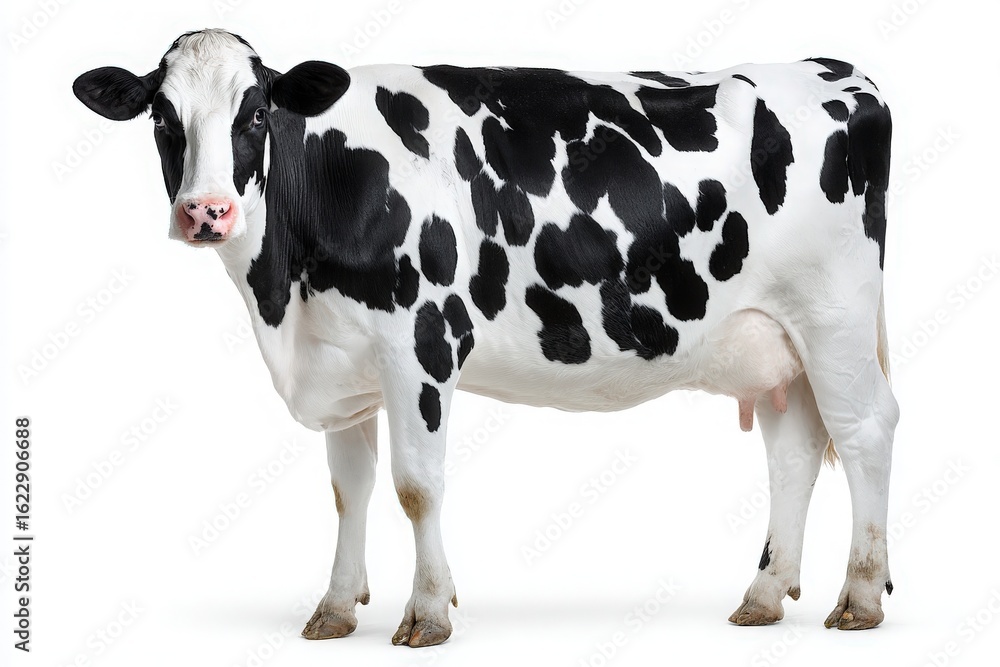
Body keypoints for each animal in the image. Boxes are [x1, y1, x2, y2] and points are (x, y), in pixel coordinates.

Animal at [73, 29, 898, 647]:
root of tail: (841, 71)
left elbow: (415, 484)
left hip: (836, 314)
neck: (284, 294)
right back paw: (764, 593)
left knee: (865, 429)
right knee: (795, 449)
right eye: (162, 119)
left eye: (253, 115)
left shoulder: (420, 346)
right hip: (778, 342)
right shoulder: (341, 360)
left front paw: (427, 611)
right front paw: (335, 606)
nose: (206, 212)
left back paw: (859, 596)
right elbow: (349, 489)